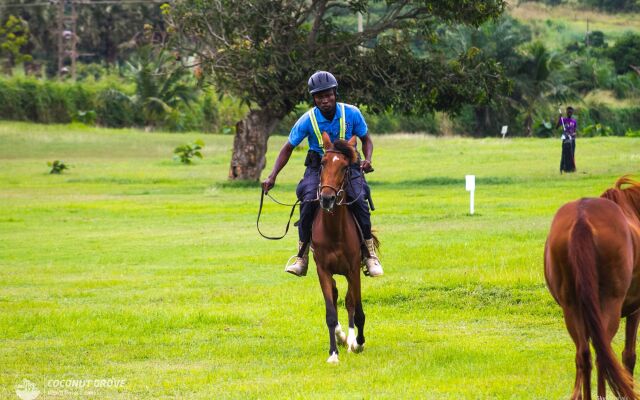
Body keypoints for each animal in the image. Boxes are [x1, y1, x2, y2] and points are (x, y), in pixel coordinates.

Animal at [312, 133, 372, 364]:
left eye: (345, 167)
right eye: (322, 162)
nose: (327, 198)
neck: (334, 231)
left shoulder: (353, 269)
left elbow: (357, 308)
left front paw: (358, 343)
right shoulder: (323, 270)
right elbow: (330, 312)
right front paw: (333, 352)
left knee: (350, 302)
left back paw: (353, 341)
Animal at [544, 177, 640, 398]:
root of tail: (582, 220)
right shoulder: (635, 310)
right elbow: (629, 355)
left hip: (573, 309)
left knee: (584, 356)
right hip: (608, 307)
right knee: (601, 356)